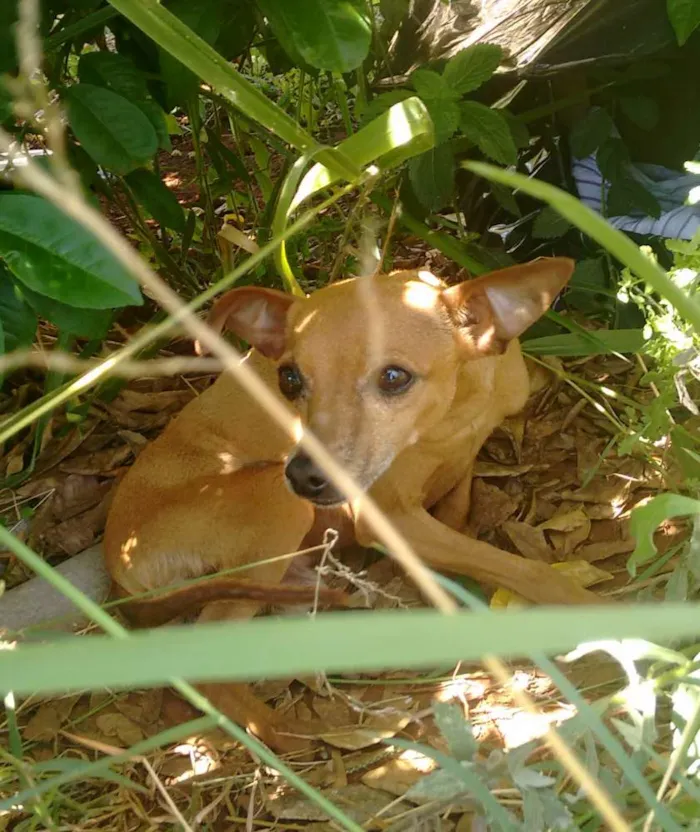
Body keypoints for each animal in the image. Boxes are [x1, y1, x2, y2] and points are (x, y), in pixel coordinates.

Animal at [102, 256, 596, 752]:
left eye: (394, 377)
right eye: (289, 379)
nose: (304, 474)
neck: (453, 417)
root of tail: (117, 566)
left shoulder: (461, 461)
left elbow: (461, 508)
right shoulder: (389, 518)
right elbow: (524, 569)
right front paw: (588, 605)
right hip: (276, 503)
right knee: (208, 669)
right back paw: (302, 734)